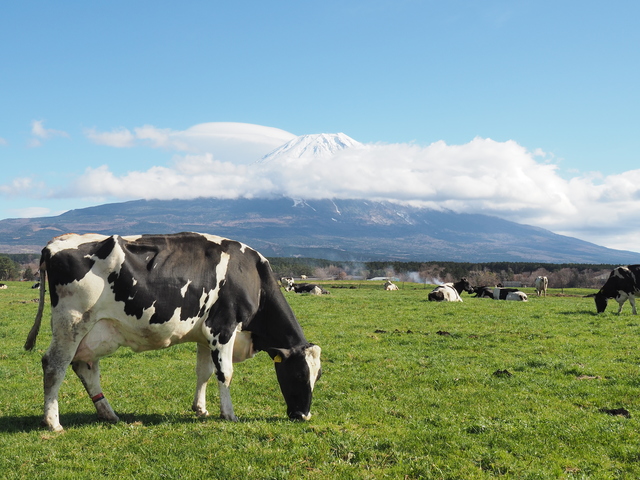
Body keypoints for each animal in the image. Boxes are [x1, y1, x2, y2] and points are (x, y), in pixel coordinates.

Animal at [23, 232, 322, 432]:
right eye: (298, 374)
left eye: (317, 377)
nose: (303, 415)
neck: (253, 276)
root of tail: (56, 243)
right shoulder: (223, 327)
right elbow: (225, 374)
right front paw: (229, 414)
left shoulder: (204, 335)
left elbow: (204, 372)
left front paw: (200, 408)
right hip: (71, 324)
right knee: (54, 365)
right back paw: (53, 422)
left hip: (96, 331)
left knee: (85, 368)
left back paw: (108, 413)